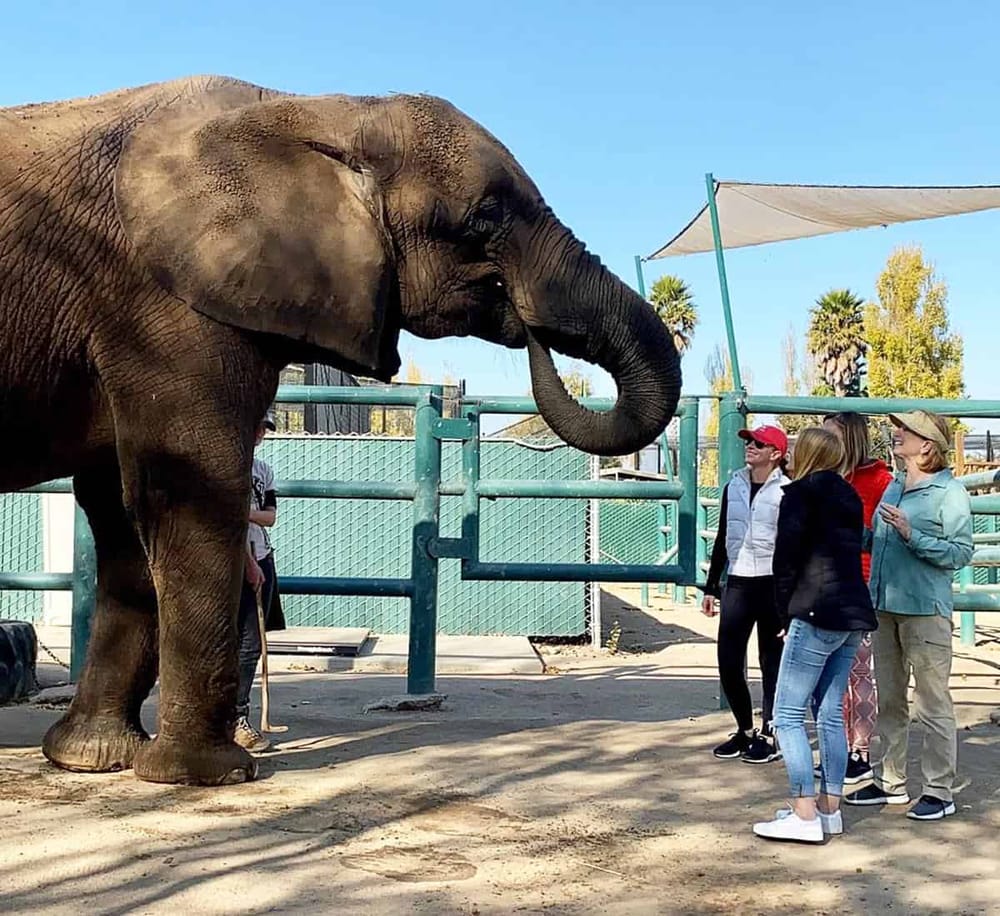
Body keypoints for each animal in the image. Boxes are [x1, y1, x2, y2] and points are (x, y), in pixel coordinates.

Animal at [0, 75, 680, 786]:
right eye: (485, 217)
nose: (532, 330)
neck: (320, 111)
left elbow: (121, 513)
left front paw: (95, 759)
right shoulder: (163, 308)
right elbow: (187, 496)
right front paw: (207, 775)